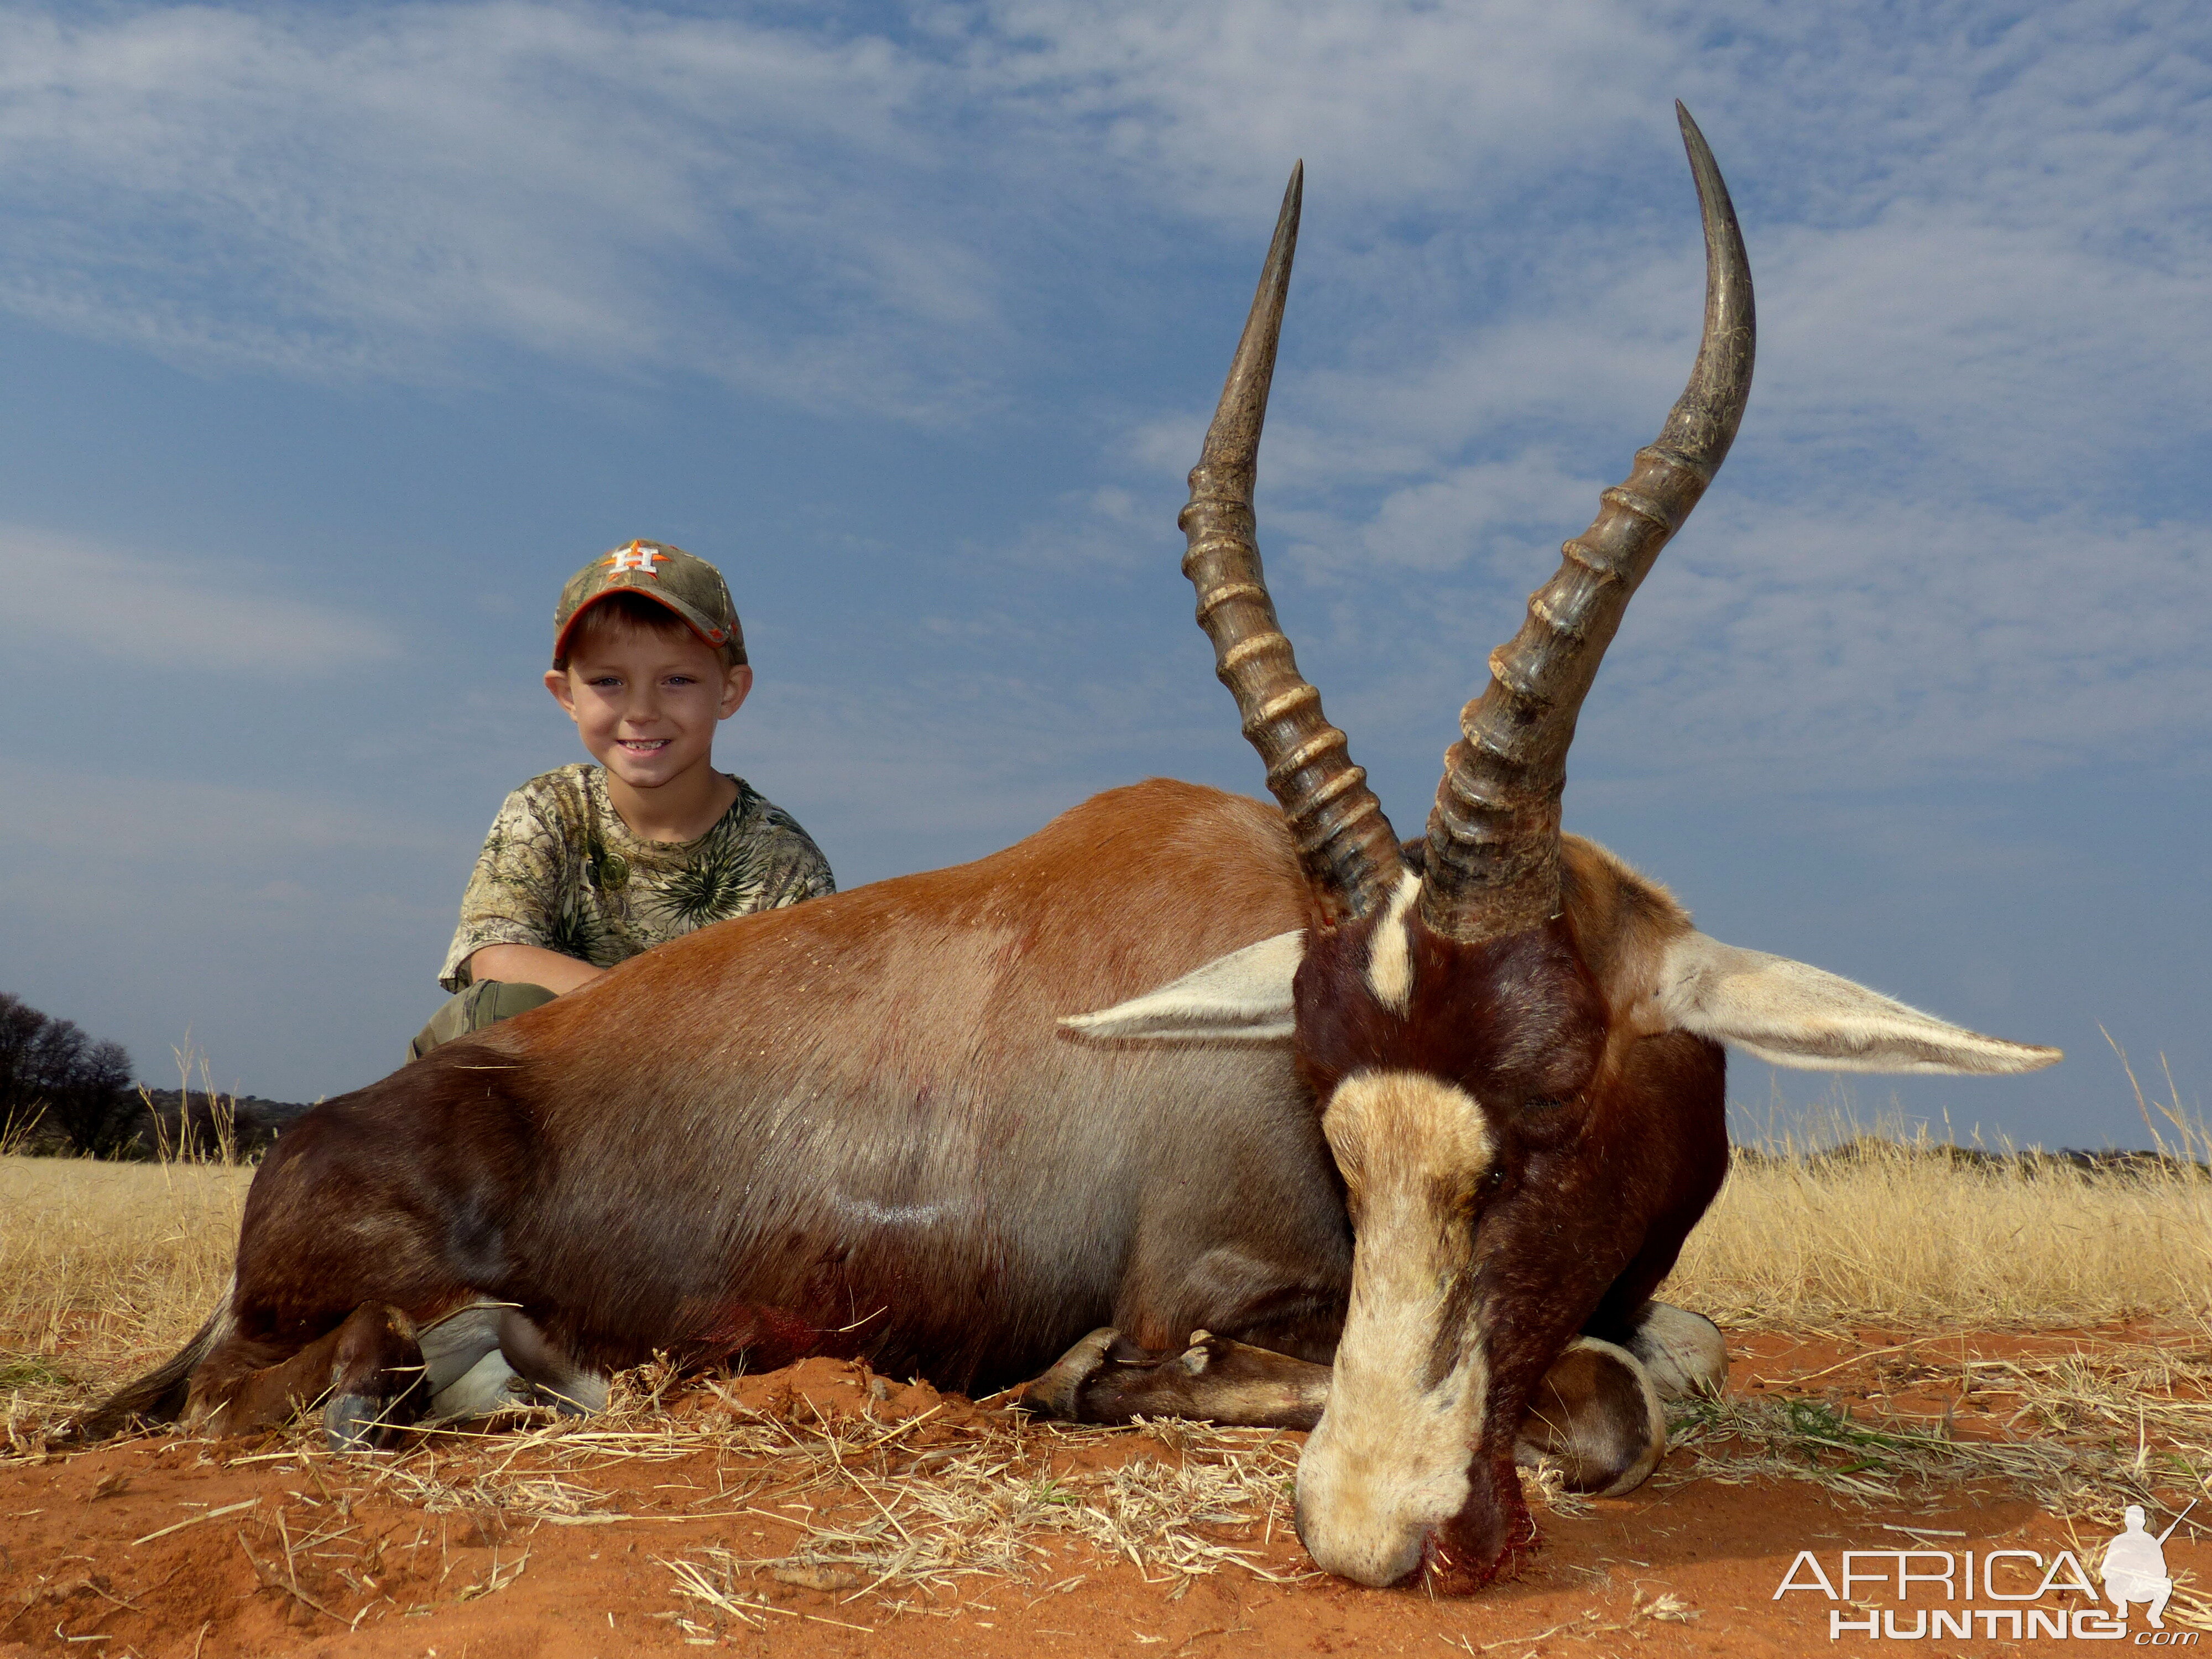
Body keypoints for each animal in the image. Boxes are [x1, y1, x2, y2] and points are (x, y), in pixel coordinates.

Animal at [82, 107, 2053, 1601]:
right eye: (1327, 1106)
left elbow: (1677, 1357)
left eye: (1554, 1103)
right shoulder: (1190, 1309)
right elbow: (1595, 1404)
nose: (1372, 1533)